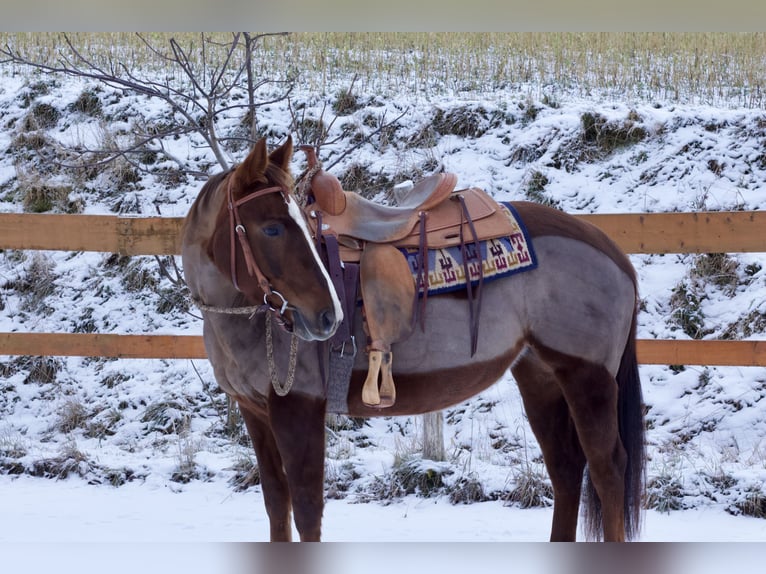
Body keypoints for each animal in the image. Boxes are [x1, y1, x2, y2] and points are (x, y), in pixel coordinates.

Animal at [181, 136, 645, 542]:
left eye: (288, 225)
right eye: (272, 229)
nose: (327, 315)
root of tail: (612, 250)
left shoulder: (298, 408)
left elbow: (308, 511)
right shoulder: (255, 412)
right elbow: (278, 505)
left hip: (588, 378)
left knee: (607, 470)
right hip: (540, 376)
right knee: (566, 468)